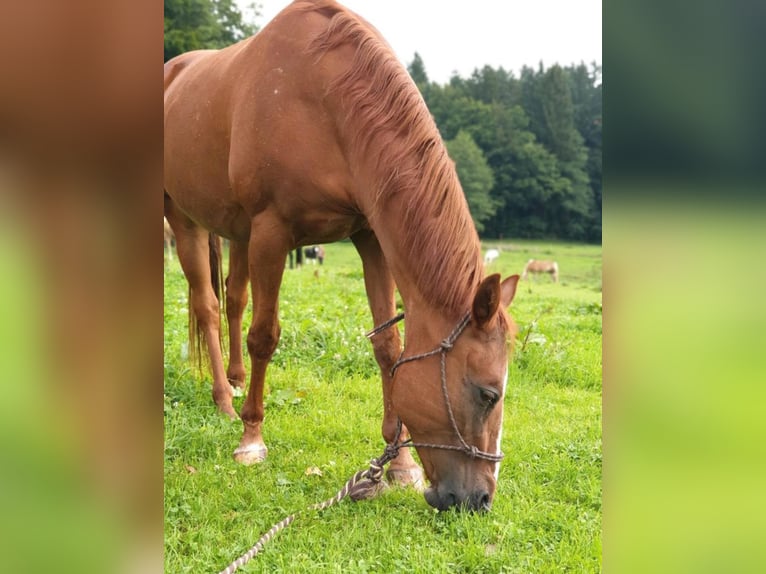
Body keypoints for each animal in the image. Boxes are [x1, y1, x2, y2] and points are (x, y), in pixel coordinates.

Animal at [164, 0, 520, 512]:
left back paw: (233, 381)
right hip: (184, 220)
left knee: (231, 300)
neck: (325, 102)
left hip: (235, 233)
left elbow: (388, 347)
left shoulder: (370, 236)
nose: (478, 499)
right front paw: (252, 438)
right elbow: (264, 337)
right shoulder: (272, 232)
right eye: (487, 393)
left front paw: (399, 465)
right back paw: (224, 400)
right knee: (208, 308)